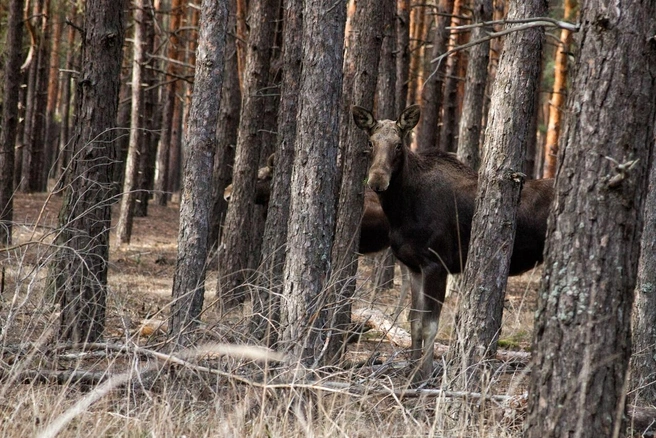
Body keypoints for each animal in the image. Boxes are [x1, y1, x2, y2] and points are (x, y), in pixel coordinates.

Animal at [354, 104, 552, 382]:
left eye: (398, 145)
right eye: (371, 143)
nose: (377, 181)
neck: (400, 211)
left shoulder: (437, 265)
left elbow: (429, 325)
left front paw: (425, 375)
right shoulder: (414, 266)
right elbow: (413, 321)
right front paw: (412, 373)